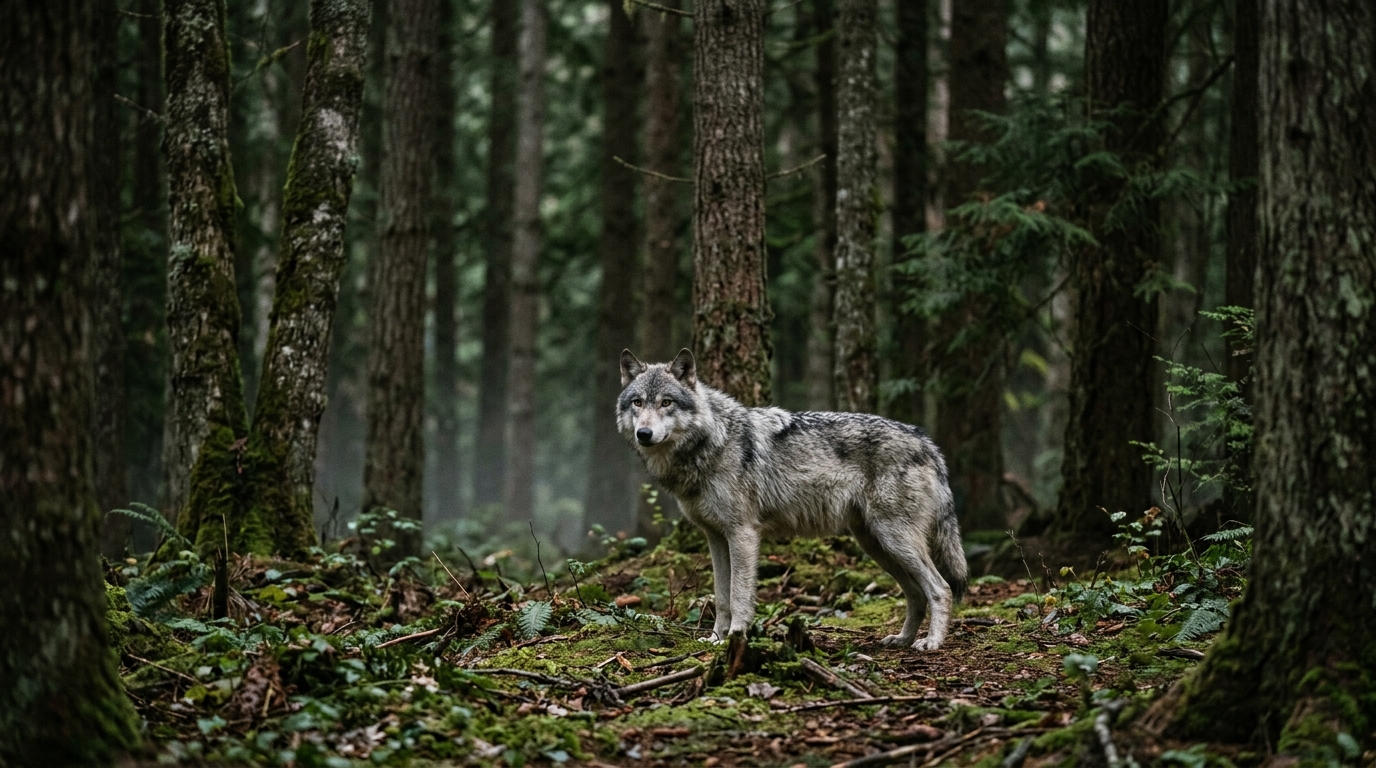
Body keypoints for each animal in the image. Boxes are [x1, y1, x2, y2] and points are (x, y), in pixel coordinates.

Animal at [617, 348, 967, 650]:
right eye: (637, 402)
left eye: (666, 402)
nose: (643, 434)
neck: (711, 441)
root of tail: (928, 443)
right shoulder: (715, 537)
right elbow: (721, 596)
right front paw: (716, 639)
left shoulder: (743, 534)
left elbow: (739, 595)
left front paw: (736, 637)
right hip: (877, 545)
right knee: (916, 594)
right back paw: (902, 639)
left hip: (894, 540)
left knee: (941, 588)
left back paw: (931, 643)